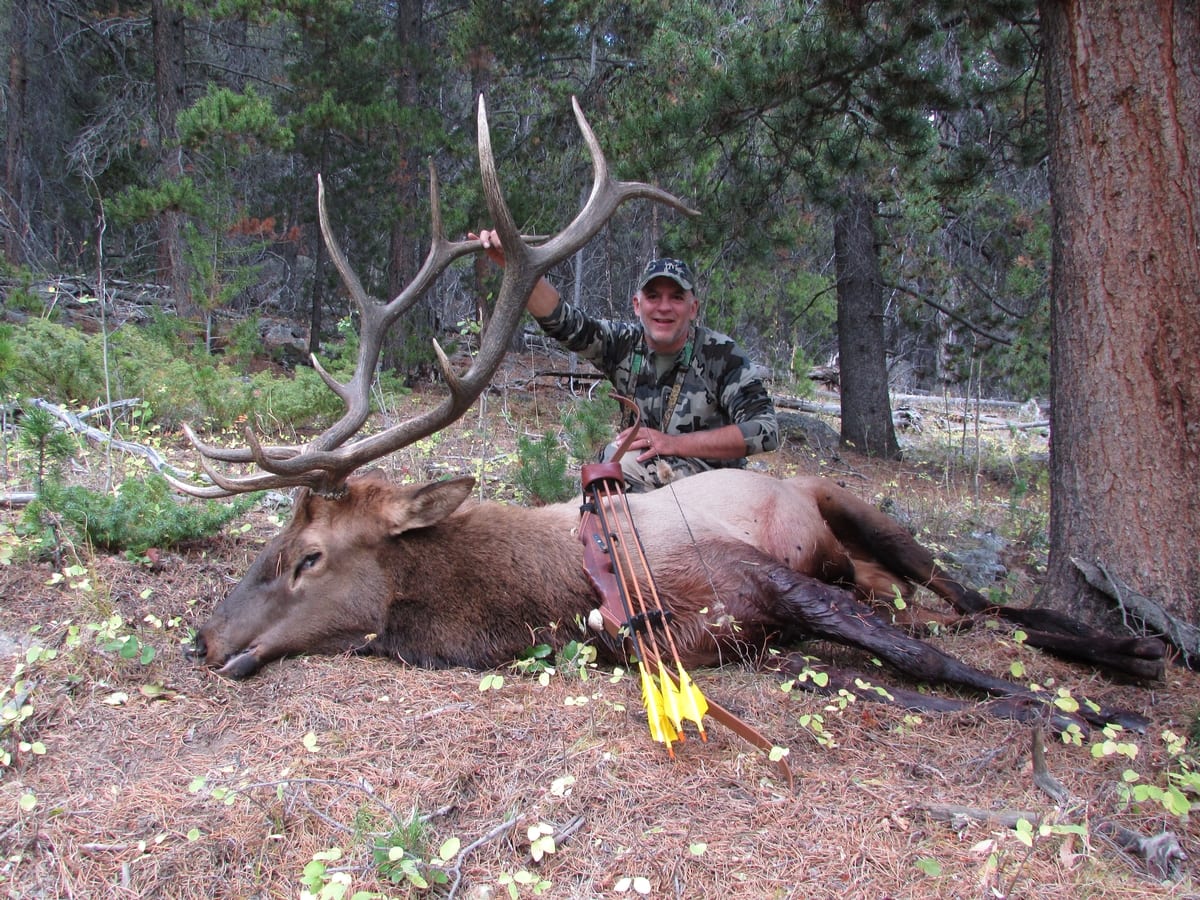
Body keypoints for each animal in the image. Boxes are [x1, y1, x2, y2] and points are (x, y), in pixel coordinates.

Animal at [170, 97, 1160, 751]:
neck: (562, 596)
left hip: (858, 508)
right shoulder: (750, 641)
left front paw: (1097, 713)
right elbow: (895, 676)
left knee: (981, 603)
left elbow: (934, 664)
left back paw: (1132, 656)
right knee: (958, 610)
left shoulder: (765, 581)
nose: (203, 637)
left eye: (308, 556)